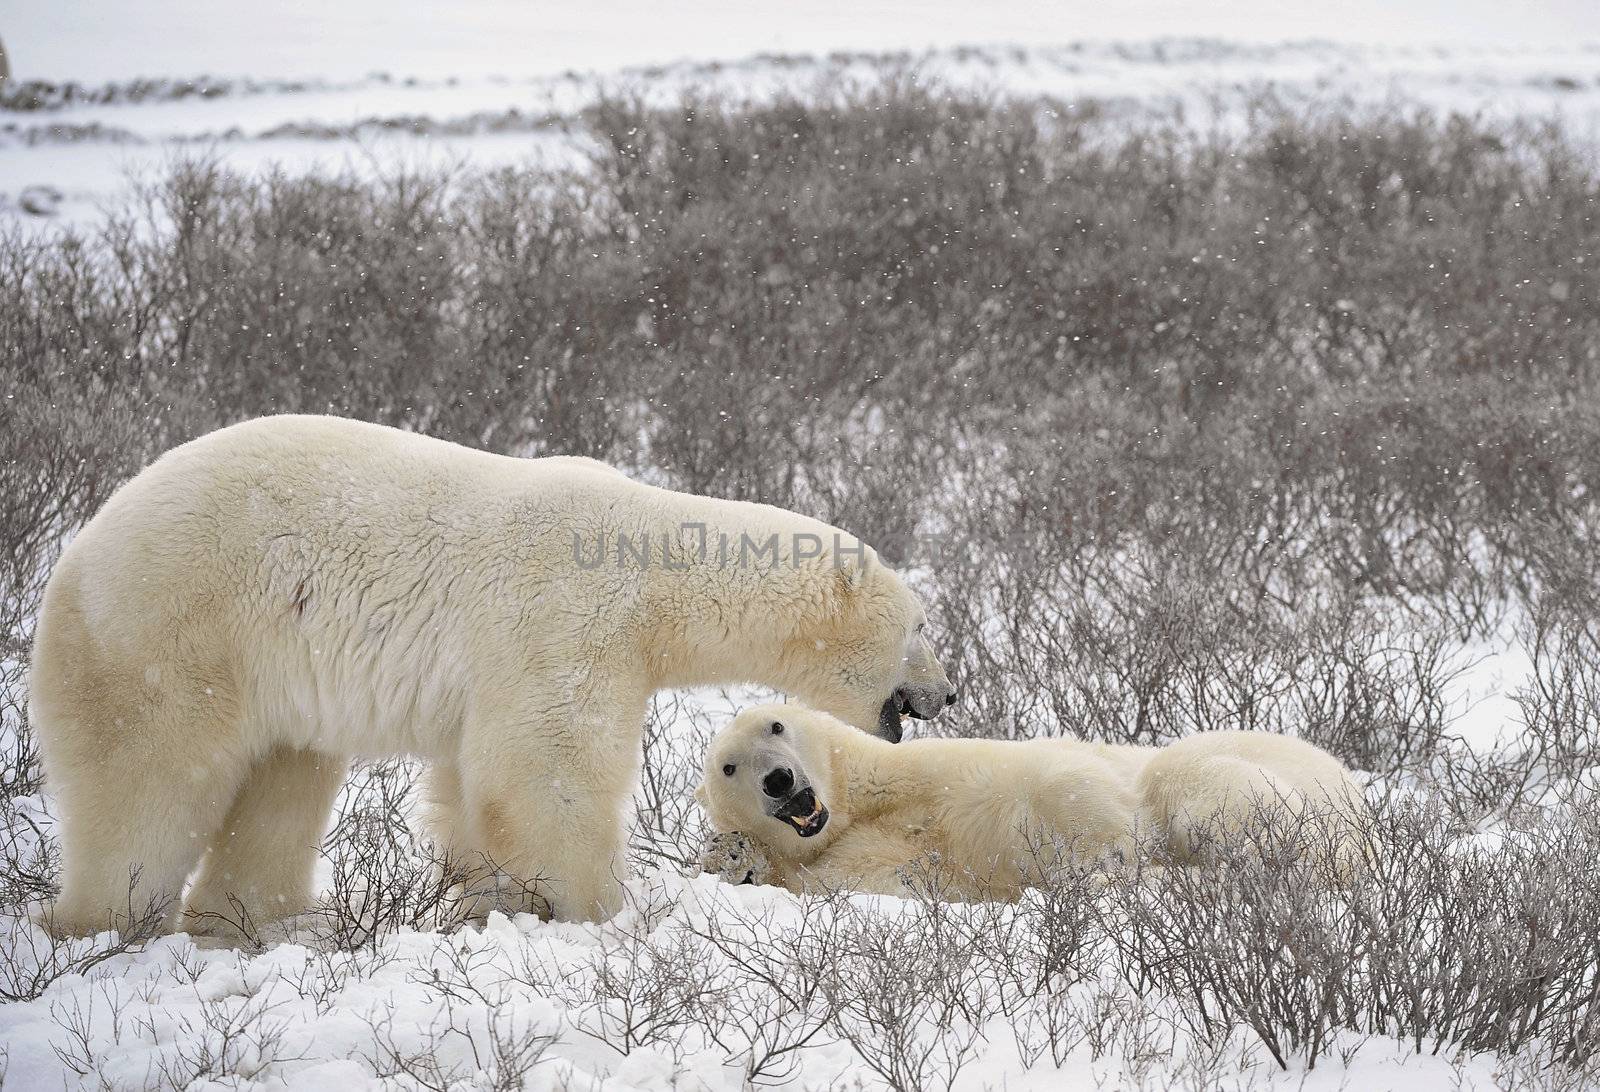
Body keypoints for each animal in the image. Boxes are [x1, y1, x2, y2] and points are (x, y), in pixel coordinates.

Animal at [31, 413, 947, 928]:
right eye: (922, 626)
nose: (946, 691)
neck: (653, 566)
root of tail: (75, 554)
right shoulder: (565, 621)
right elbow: (547, 771)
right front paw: (600, 912)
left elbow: (471, 787)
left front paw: (490, 905)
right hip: (173, 634)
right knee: (149, 787)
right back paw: (102, 921)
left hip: (268, 672)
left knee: (283, 781)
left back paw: (268, 921)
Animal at [694, 701, 1369, 896]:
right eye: (729, 766)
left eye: (776, 727)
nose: (779, 781)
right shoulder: (850, 858)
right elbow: (887, 877)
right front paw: (734, 857)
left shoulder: (938, 769)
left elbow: (1060, 777)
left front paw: (1109, 861)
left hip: (1263, 776)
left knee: (1190, 784)